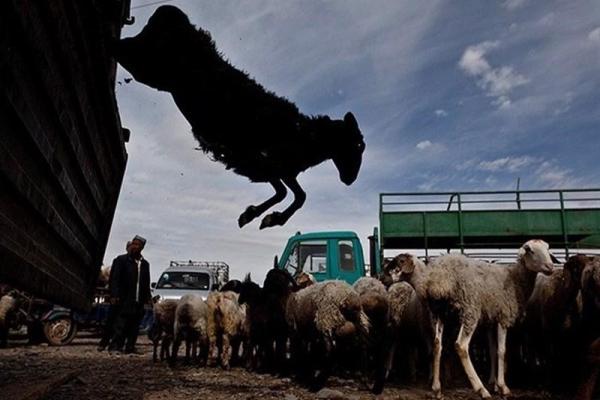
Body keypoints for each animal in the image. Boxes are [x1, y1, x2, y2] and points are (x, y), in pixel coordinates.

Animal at [115, 6, 364, 230]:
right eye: (359, 145)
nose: (350, 180)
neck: (305, 137)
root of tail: (169, 11)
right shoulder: (264, 162)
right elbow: (293, 194)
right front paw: (267, 218)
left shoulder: (272, 169)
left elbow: (290, 194)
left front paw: (257, 216)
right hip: (148, 66)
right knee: (120, 48)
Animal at [424, 239, 556, 398]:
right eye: (529, 250)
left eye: (547, 249)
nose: (550, 267)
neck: (516, 279)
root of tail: (439, 279)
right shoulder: (503, 316)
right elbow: (502, 351)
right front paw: (502, 387)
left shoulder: (491, 321)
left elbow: (492, 350)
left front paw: (494, 383)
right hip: (470, 309)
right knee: (461, 346)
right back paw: (481, 389)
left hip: (440, 314)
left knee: (437, 344)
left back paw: (436, 388)